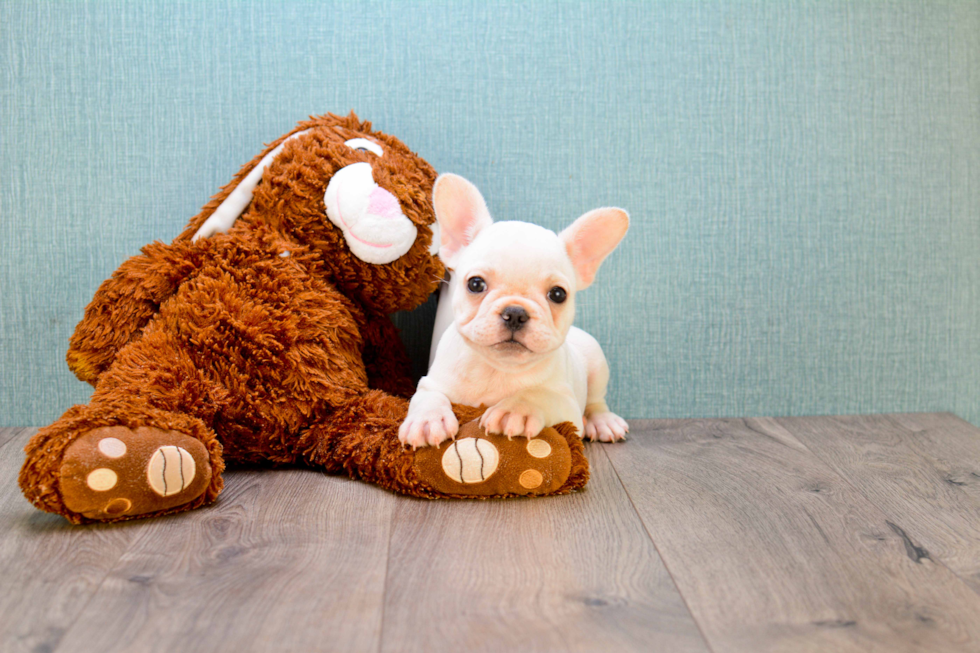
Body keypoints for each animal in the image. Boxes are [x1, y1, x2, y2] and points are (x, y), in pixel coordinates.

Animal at [396, 173, 628, 448]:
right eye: (475, 284)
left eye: (558, 294)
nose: (516, 313)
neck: (497, 368)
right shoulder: (431, 382)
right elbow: (428, 397)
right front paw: (427, 420)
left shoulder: (567, 405)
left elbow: (539, 395)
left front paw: (516, 409)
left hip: (597, 363)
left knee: (596, 401)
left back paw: (603, 421)